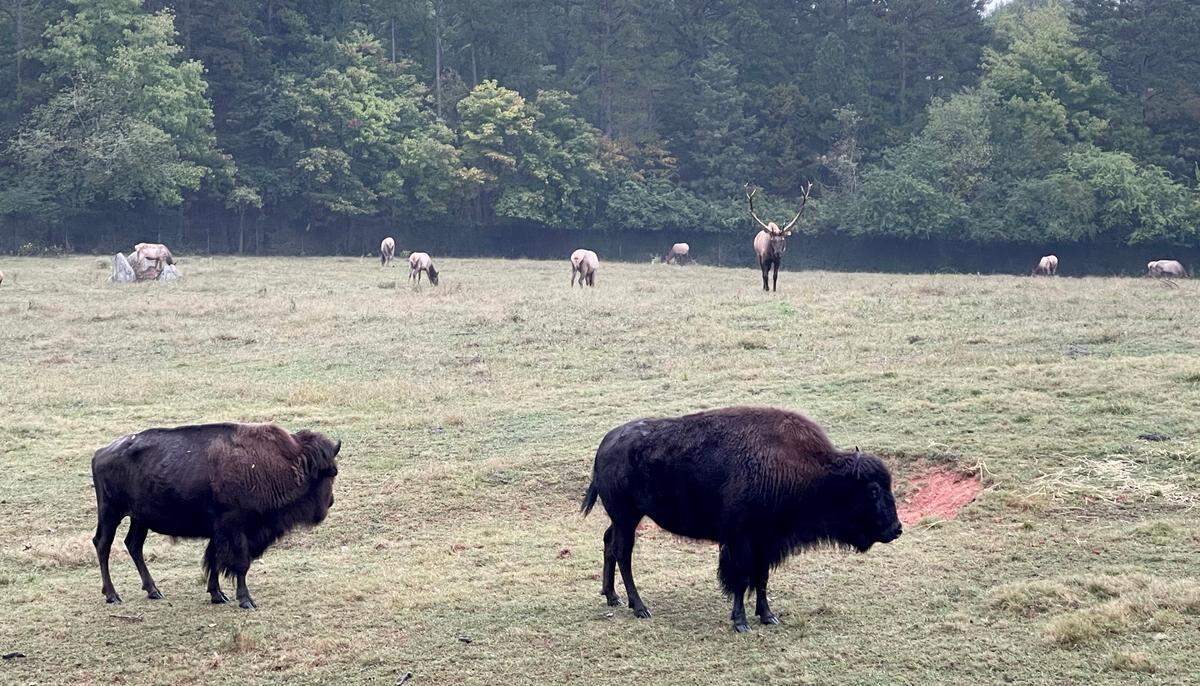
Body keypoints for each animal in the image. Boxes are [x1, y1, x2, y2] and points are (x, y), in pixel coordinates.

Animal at [91, 423, 340, 609]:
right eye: (331, 472)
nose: (330, 502)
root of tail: (100, 453)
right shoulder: (235, 529)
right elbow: (239, 563)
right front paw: (246, 600)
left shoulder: (219, 532)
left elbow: (214, 559)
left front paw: (217, 595)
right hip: (110, 513)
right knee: (103, 544)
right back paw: (112, 595)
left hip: (139, 518)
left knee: (134, 545)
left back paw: (153, 590)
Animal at [581, 406, 902, 632]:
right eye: (873, 490)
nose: (896, 529)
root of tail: (606, 443)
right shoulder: (740, 541)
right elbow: (740, 577)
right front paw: (741, 622)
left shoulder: (766, 542)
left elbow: (761, 578)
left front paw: (768, 616)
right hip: (627, 517)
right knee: (623, 553)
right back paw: (640, 607)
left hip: (624, 518)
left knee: (609, 543)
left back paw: (612, 596)